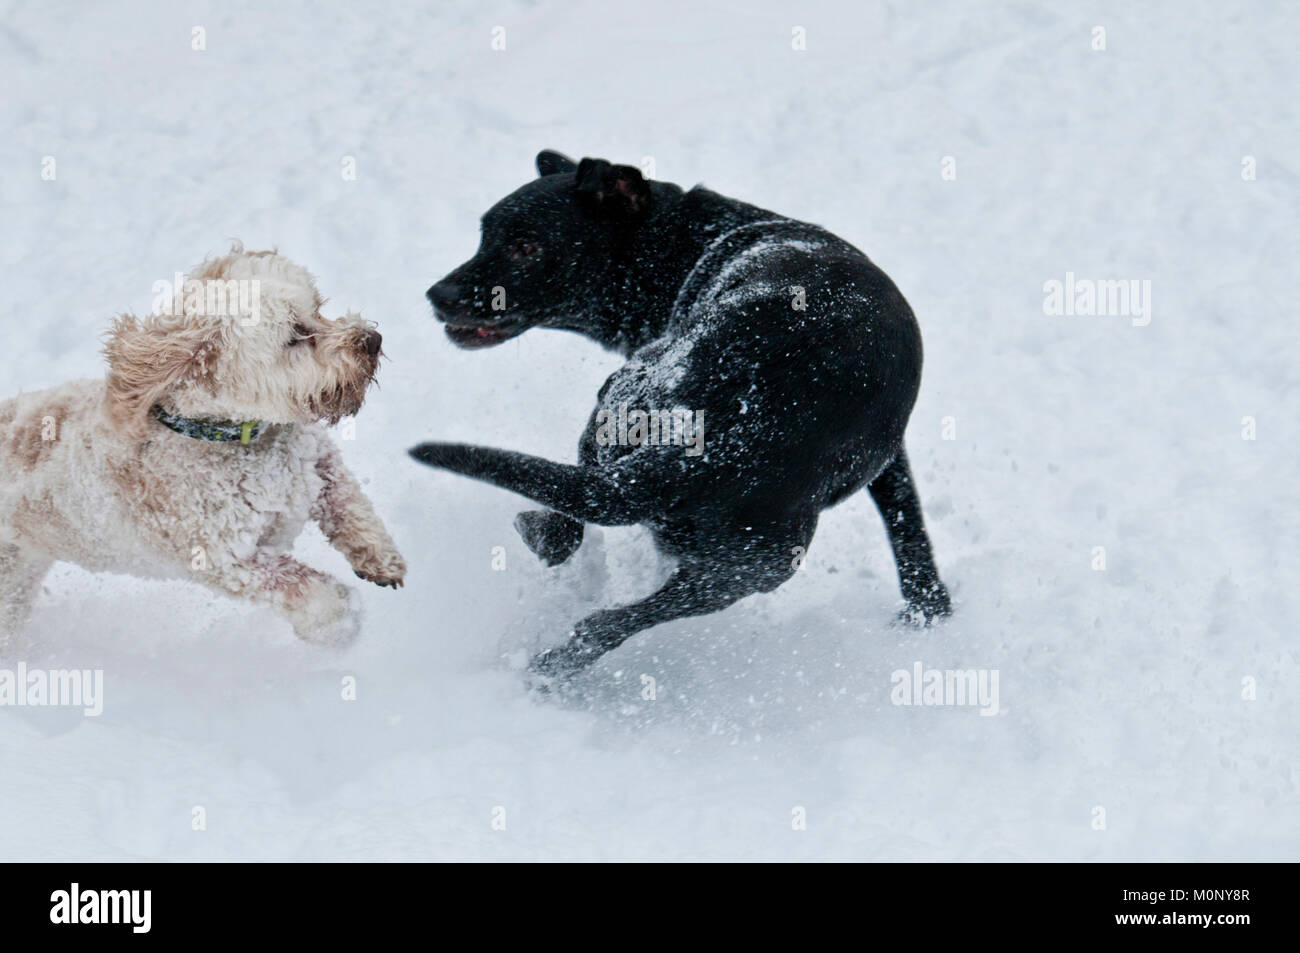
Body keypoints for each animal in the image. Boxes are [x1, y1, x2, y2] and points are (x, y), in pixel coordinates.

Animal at [0, 243, 405, 647]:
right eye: (295, 335)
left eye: (318, 307)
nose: (372, 340)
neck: (231, 436)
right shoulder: (224, 560)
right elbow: (301, 588)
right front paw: (341, 620)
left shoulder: (319, 462)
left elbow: (350, 504)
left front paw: (379, 558)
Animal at [410, 150, 951, 676]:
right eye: (485, 237)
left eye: (527, 247)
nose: (438, 294)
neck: (685, 242)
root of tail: (729, 438)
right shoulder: (887, 458)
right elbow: (908, 523)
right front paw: (929, 611)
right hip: (751, 566)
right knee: (608, 620)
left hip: (620, 400)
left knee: (580, 548)